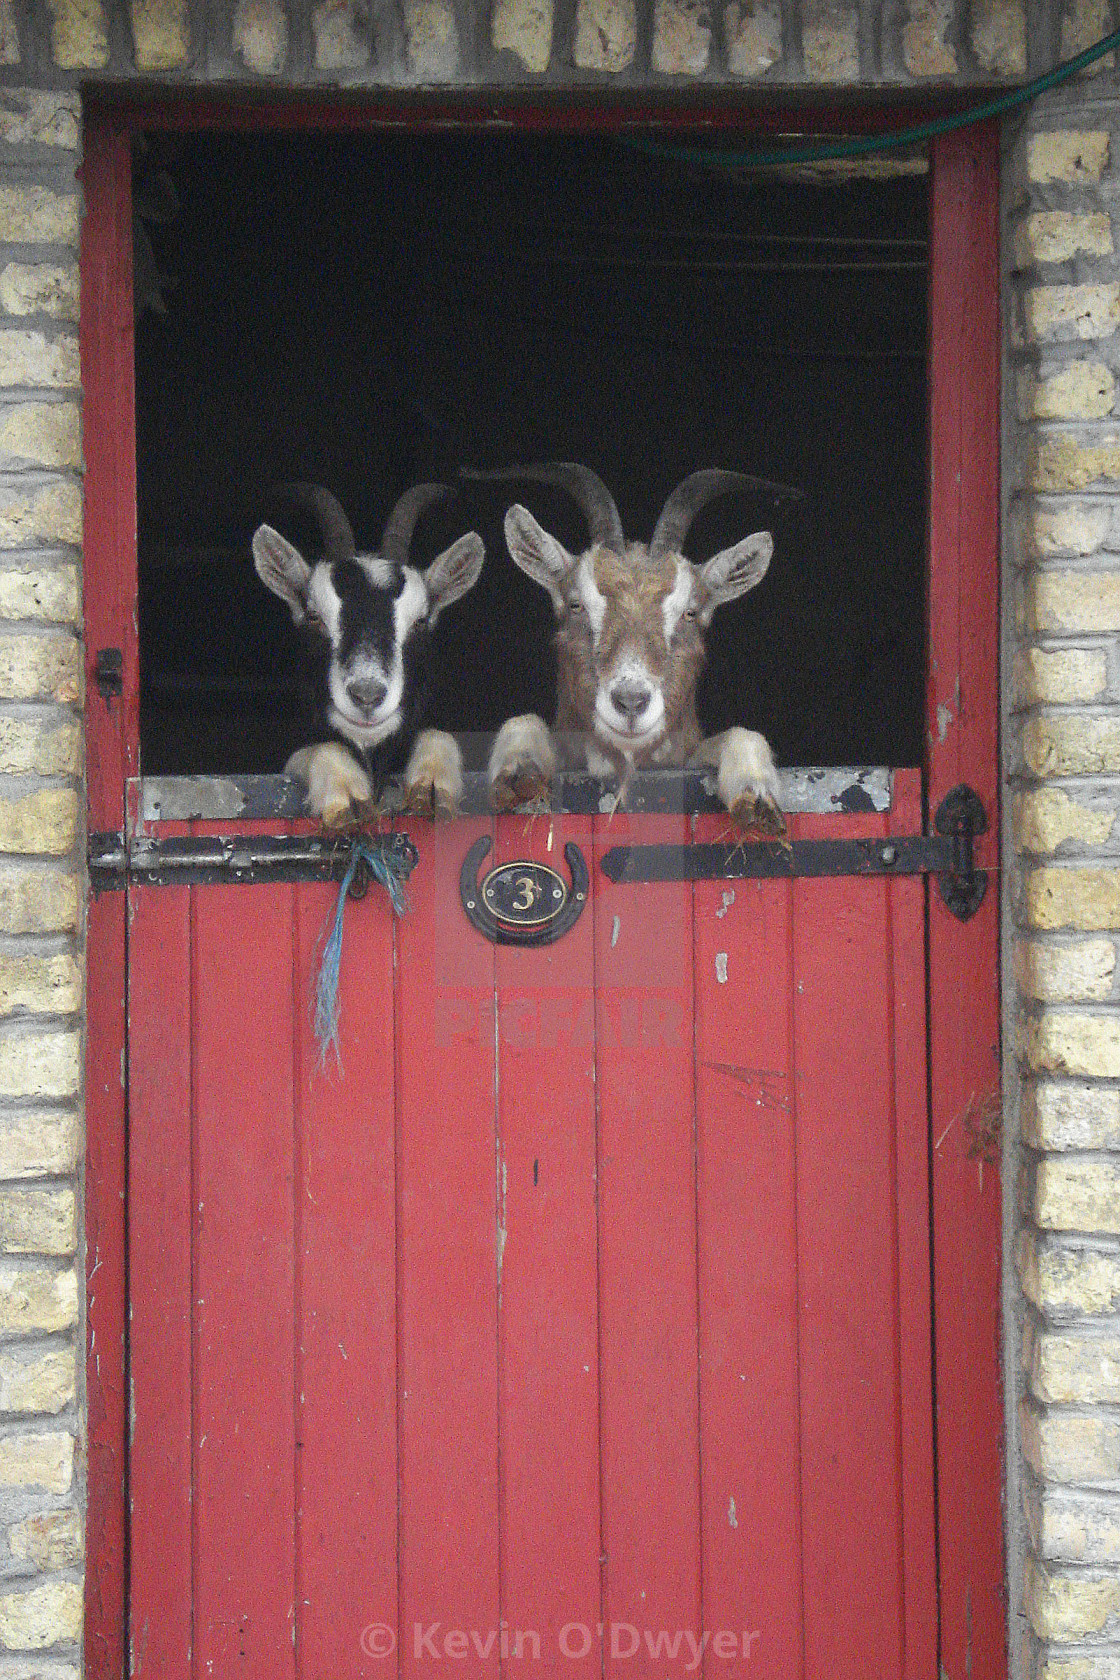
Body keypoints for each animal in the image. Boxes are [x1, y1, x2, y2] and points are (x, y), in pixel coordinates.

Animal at [256, 483, 483, 823]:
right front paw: (346, 795)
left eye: (420, 621)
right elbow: (316, 750)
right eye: (314, 616)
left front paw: (433, 785)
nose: (366, 695)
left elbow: (439, 735)